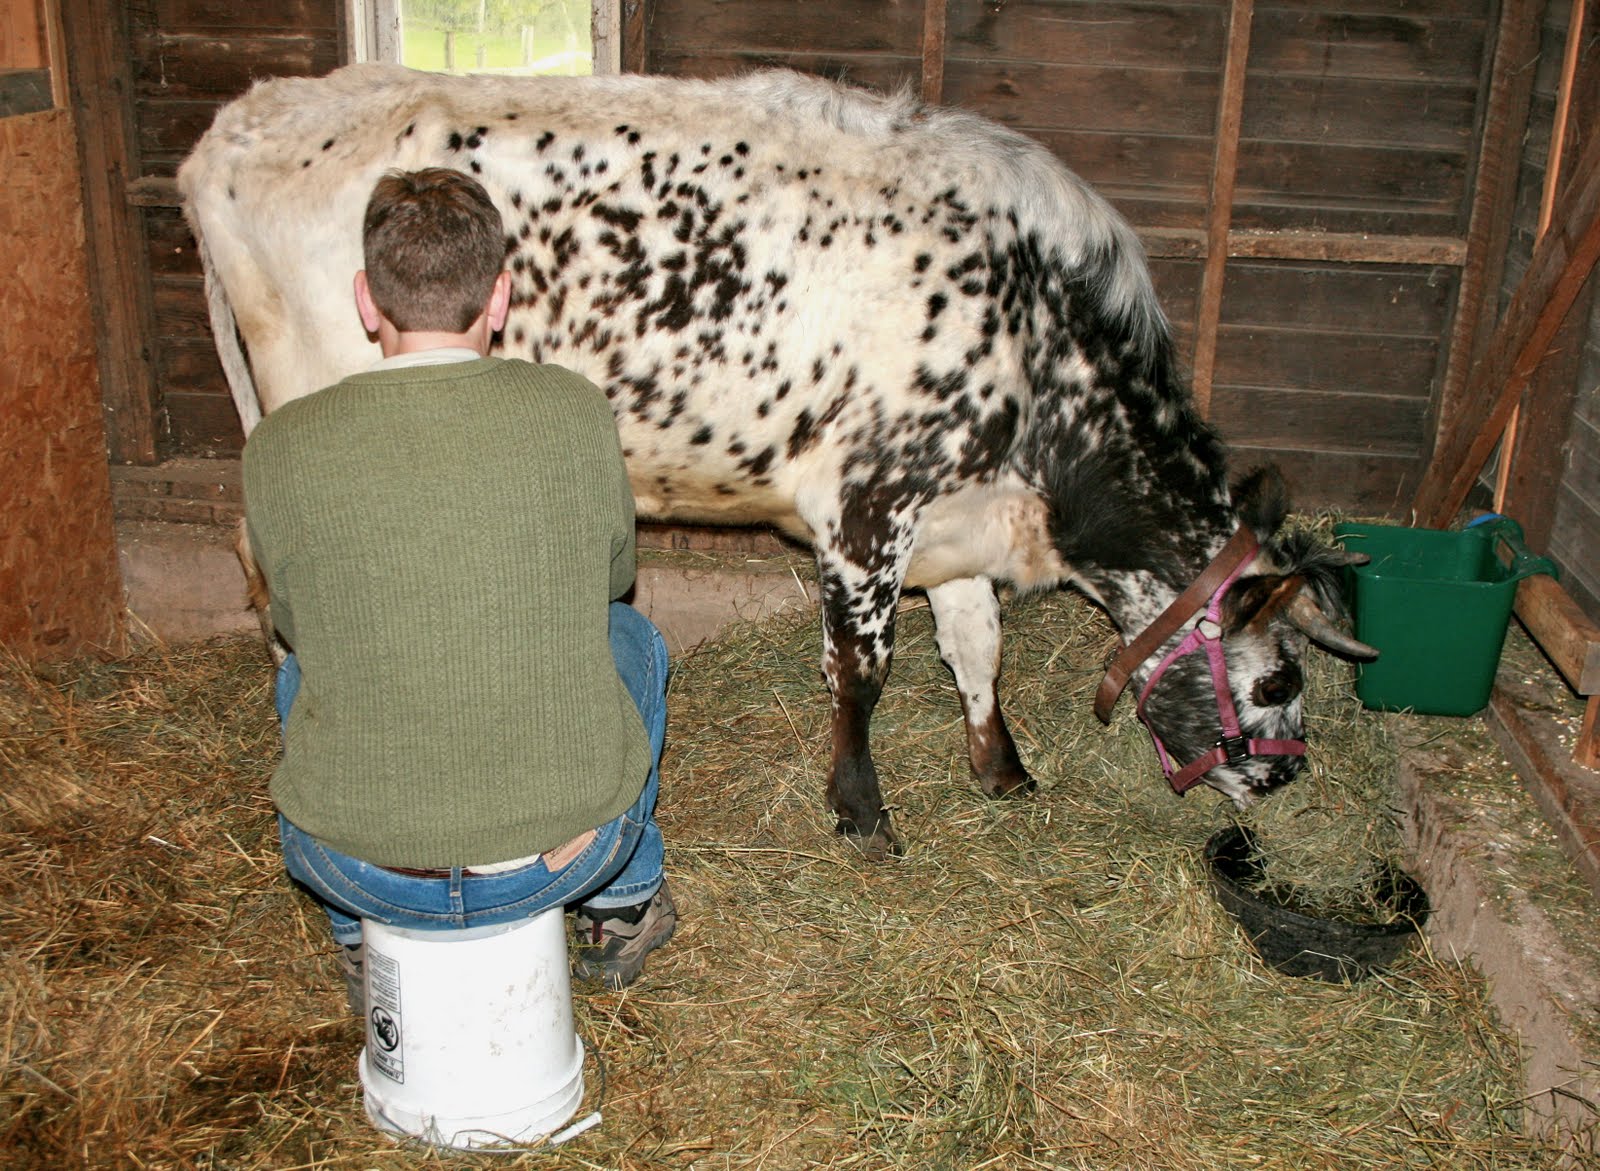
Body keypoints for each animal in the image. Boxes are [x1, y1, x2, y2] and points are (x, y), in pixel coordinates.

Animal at [179, 64, 1374, 860]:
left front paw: (1002, 769)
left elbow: (976, 647)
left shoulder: (953, 516)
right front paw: (862, 810)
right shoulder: (867, 507)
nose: (1284, 782)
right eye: (1278, 679)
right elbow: (864, 668)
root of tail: (240, 128)